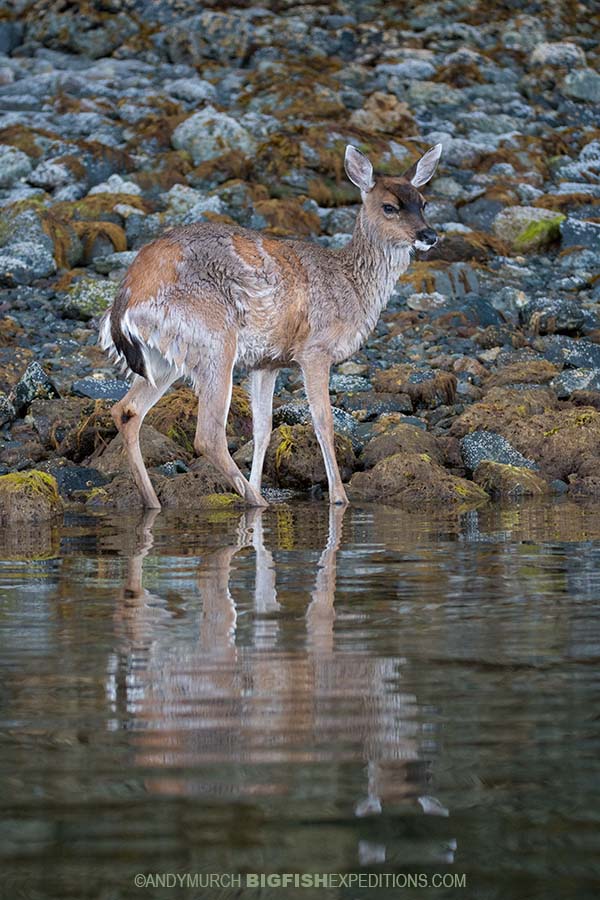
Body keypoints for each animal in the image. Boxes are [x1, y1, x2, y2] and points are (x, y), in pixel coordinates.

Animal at [99, 143, 442, 509]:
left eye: (423, 202)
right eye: (389, 206)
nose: (429, 235)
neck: (350, 285)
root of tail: (127, 298)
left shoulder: (267, 362)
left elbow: (262, 429)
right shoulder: (314, 349)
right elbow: (323, 420)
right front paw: (339, 498)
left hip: (167, 357)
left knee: (126, 410)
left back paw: (156, 502)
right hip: (214, 339)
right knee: (207, 435)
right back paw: (255, 501)